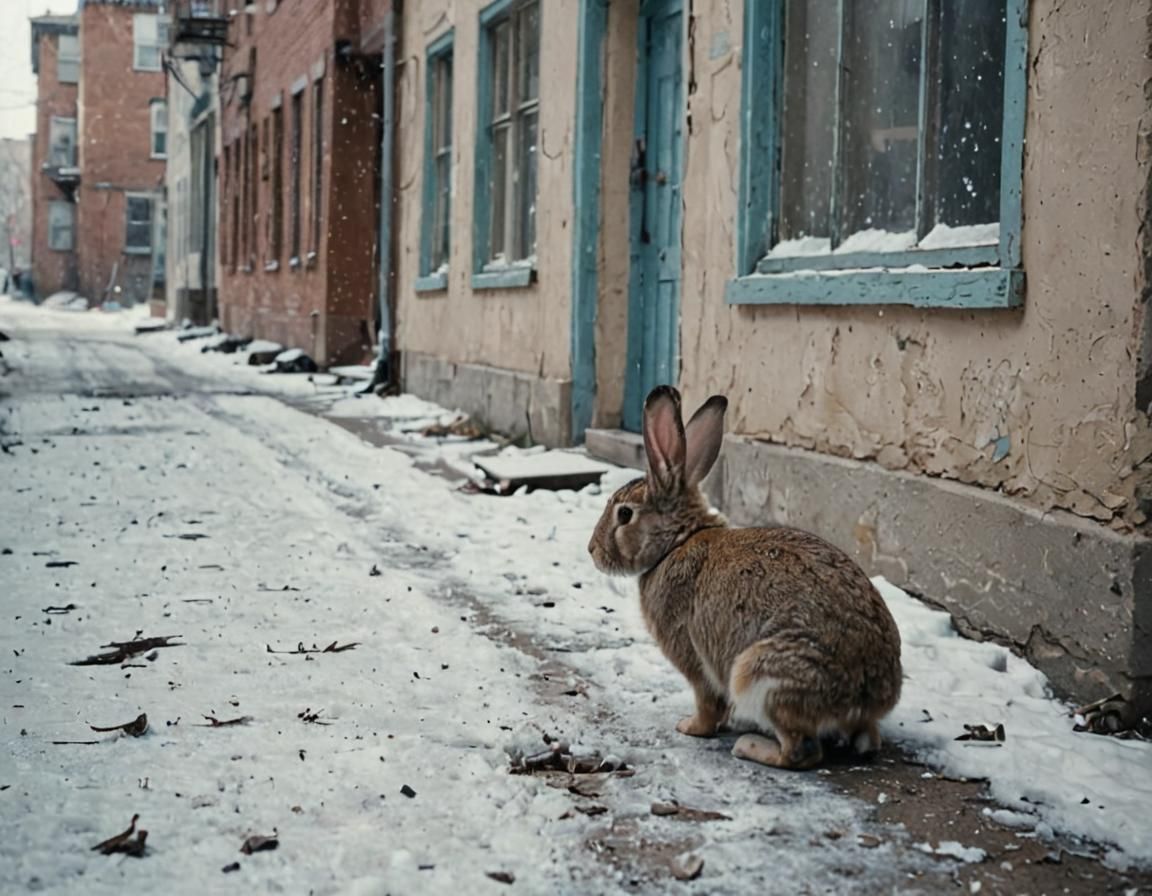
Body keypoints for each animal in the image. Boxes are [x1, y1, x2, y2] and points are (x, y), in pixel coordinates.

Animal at [588, 385, 902, 769]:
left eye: (625, 514)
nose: (592, 550)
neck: (676, 542)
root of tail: (867, 696)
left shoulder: (692, 654)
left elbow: (708, 701)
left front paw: (690, 727)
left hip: (761, 676)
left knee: (801, 751)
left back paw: (750, 746)